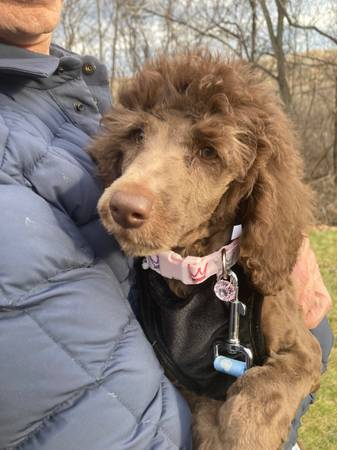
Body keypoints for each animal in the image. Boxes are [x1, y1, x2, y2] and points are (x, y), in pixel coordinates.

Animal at [88, 51, 320, 450]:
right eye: (137, 135)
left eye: (208, 152)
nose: (122, 207)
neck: (196, 269)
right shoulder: (183, 379)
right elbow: (207, 416)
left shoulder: (305, 349)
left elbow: (262, 389)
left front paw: (244, 434)